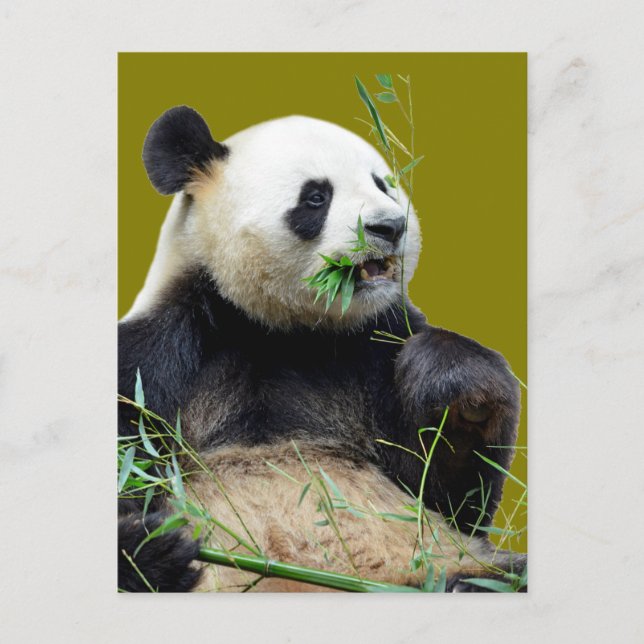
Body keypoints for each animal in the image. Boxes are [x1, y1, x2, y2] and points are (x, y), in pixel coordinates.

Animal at [118, 105, 524, 593]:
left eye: (382, 183)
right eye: (316, 197)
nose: (391, 227)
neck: (281, 330)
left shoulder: (373, 347)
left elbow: (448, 495)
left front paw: (458, 389)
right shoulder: (163, 351)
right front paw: (149, 546)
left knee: (496, 571)